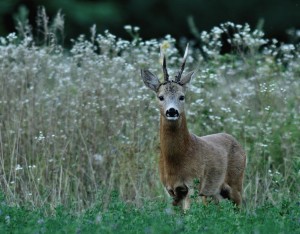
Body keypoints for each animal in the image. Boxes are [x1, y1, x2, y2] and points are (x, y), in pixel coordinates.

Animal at [141, 44, 246, 210]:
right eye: (160, 97)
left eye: (182, 96)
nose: (172, 111)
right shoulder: (170, 190)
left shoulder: (193, 184)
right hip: (215, 192)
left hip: (236, 182)